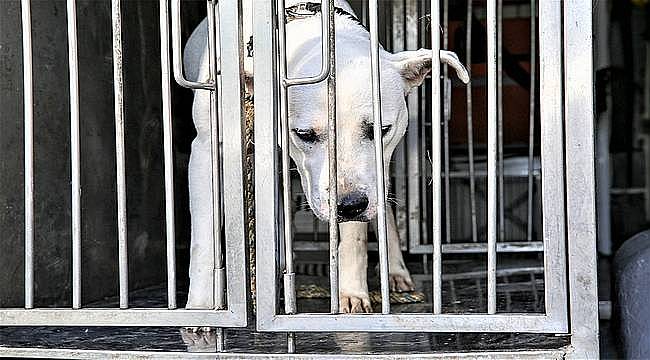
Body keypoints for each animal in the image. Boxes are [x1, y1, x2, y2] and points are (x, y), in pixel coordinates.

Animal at [182, 0, 466, 312]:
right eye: (304, 134)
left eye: (381, 129)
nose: (350, 205)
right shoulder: (207, 152)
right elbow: (204, 241)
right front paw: (201, 308)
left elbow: (355, 235)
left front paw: (351, 292)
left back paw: (394, 270)